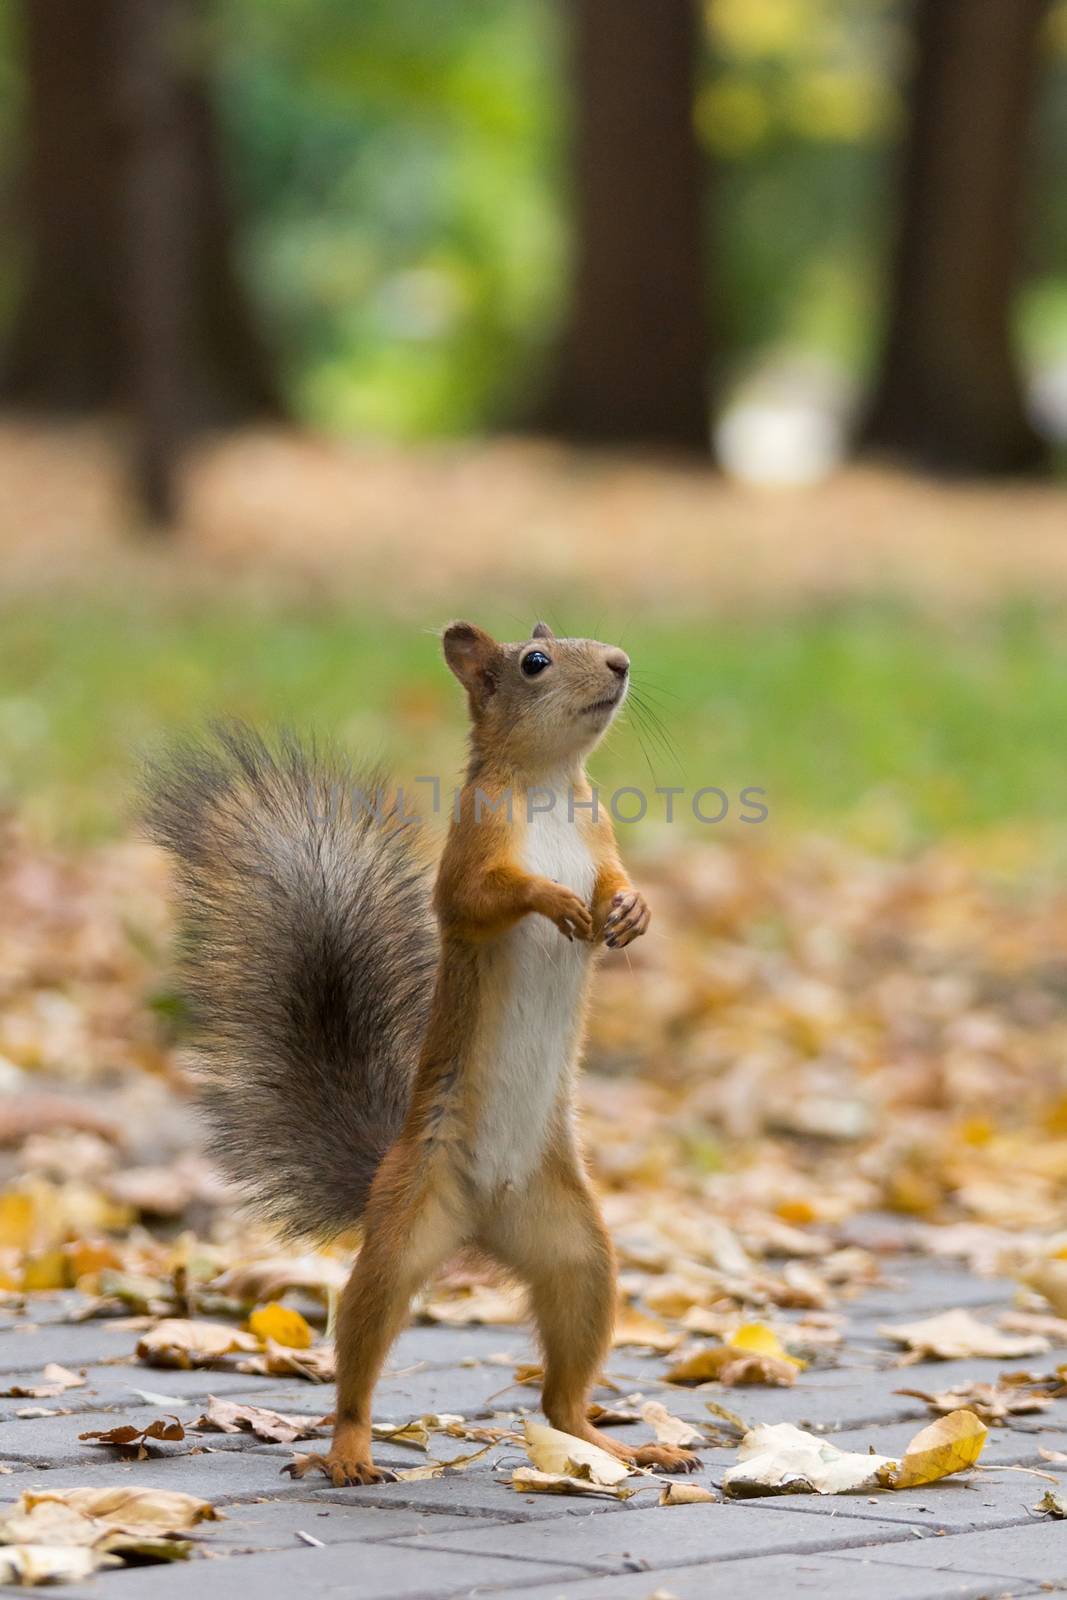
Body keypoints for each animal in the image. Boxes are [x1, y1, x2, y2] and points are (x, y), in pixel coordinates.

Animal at [147, 620, 700, 1484]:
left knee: (560, 1397)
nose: (620, 664)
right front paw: (552, 900)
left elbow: (614, 878)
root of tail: (479, 1222)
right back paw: (347, 1450)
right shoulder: (470, 849)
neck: (549, 787)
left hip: (577, 1252)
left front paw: (631, 909)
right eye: (534, 662)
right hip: (405, 1226)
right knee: (363, 1345)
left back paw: (616, 1443)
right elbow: (480, 898)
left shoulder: (601, 834)